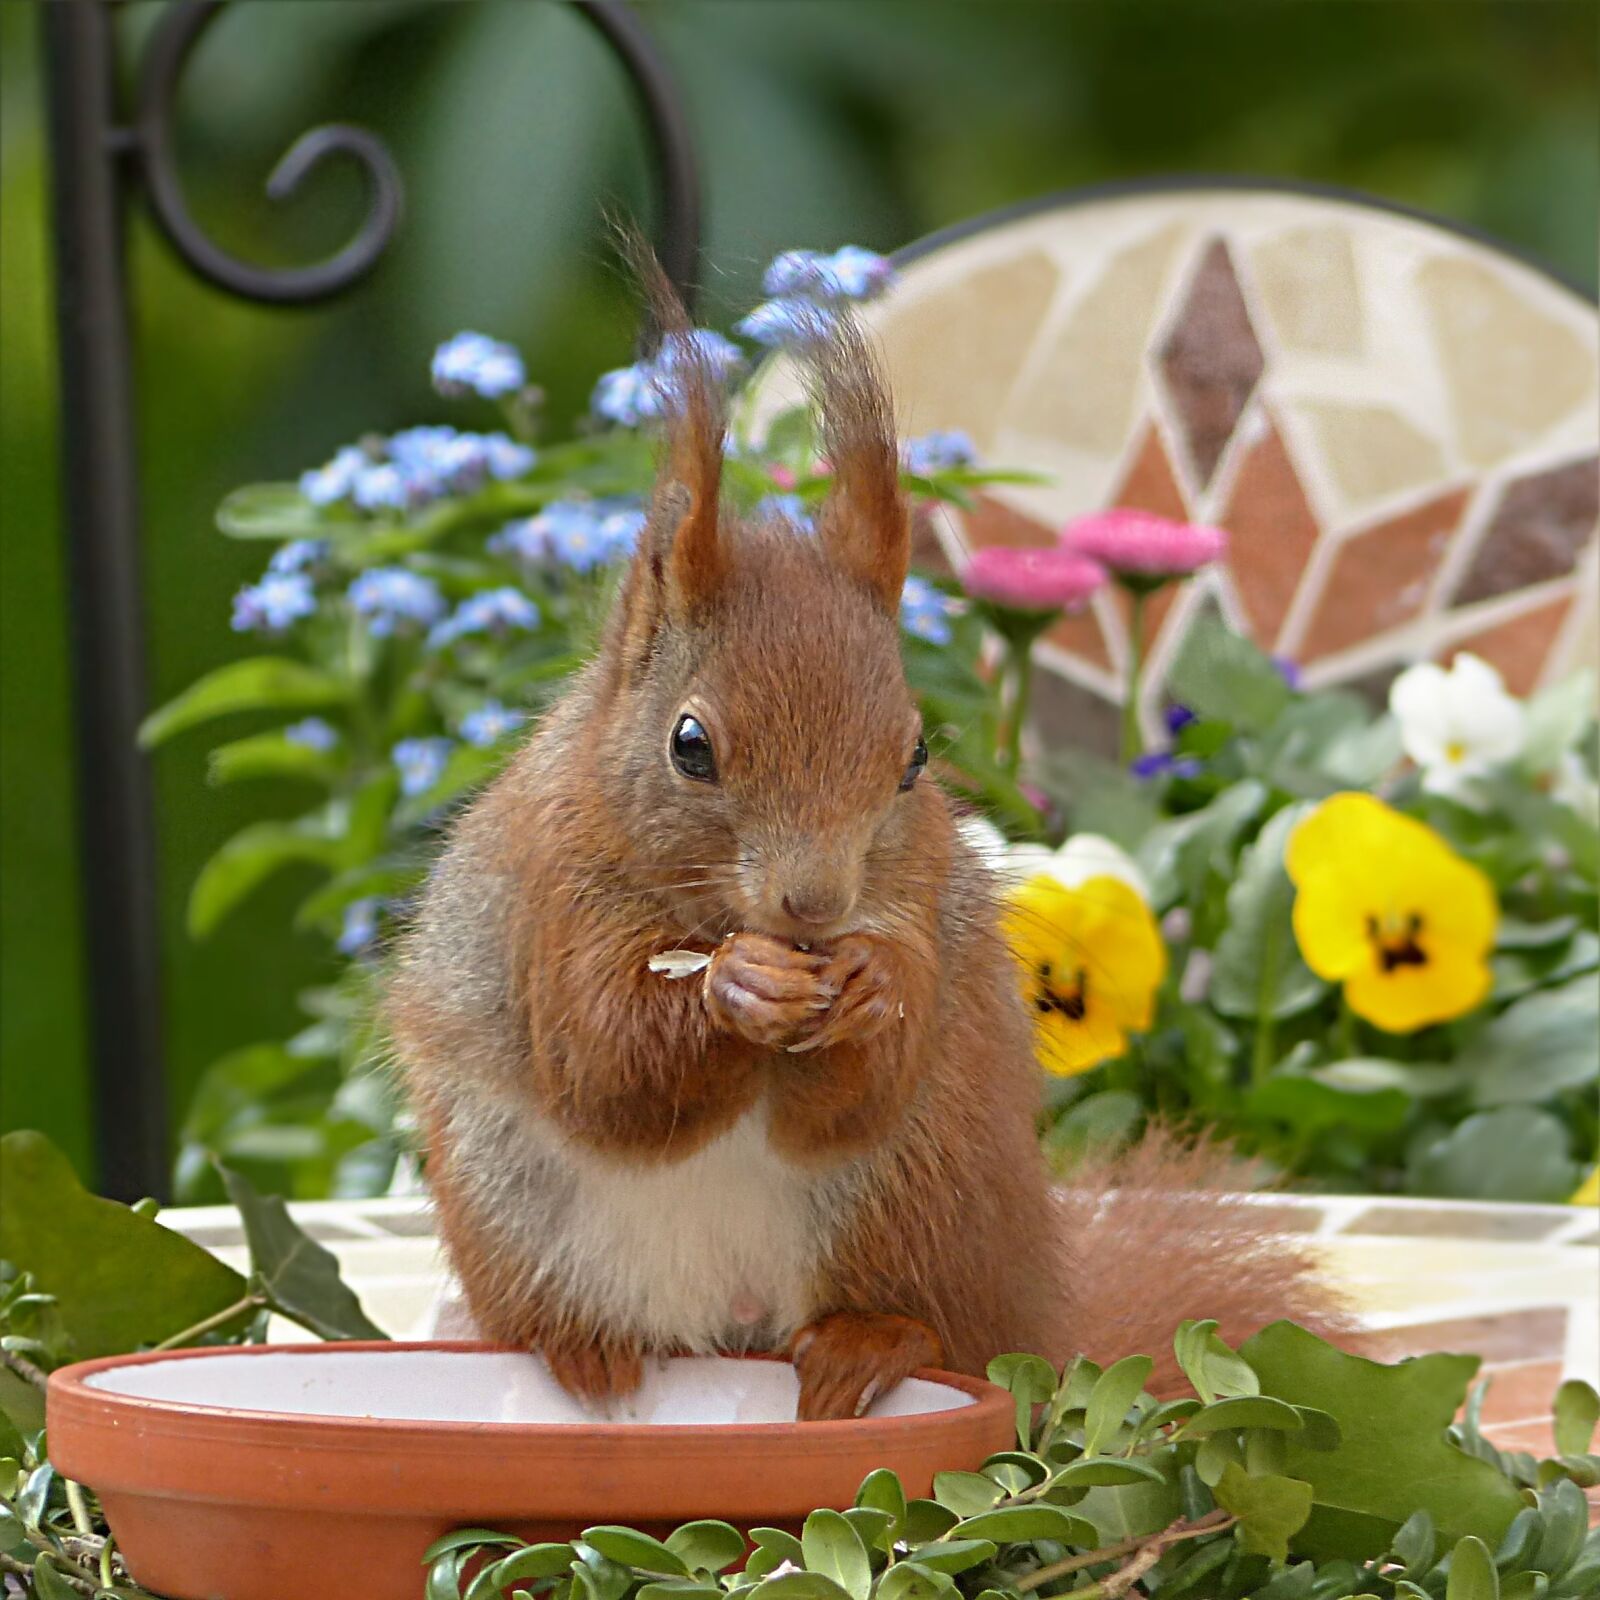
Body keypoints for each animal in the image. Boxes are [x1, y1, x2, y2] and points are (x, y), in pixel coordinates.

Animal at [389, 278, 1342, 1422]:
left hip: (922, 1189)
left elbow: (857, 1085)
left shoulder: (917, 899)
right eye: (690, 745)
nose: (815, 904)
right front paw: (736, 988)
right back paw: (584, 1349)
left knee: (921, 1311)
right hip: (510, 1201)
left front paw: (871, 987)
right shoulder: (555, 896)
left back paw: (866, 1343)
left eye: (915, 756)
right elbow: (603, 1064)